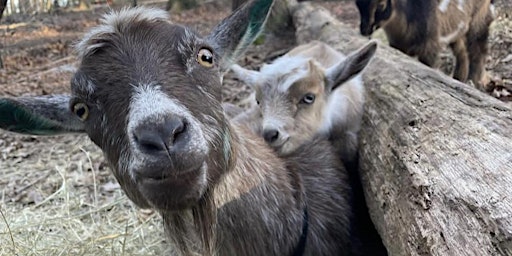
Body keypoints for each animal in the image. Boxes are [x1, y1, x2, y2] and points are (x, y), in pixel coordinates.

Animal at [356, 0, 496, 87]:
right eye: (357, 3)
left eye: (381, 4)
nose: (365, 30)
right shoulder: (398, 45)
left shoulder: (430, 45)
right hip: (459, 32)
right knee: (463, 54)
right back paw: (458, 79)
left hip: (478, 22)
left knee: (478, 52)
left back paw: (474, 83)